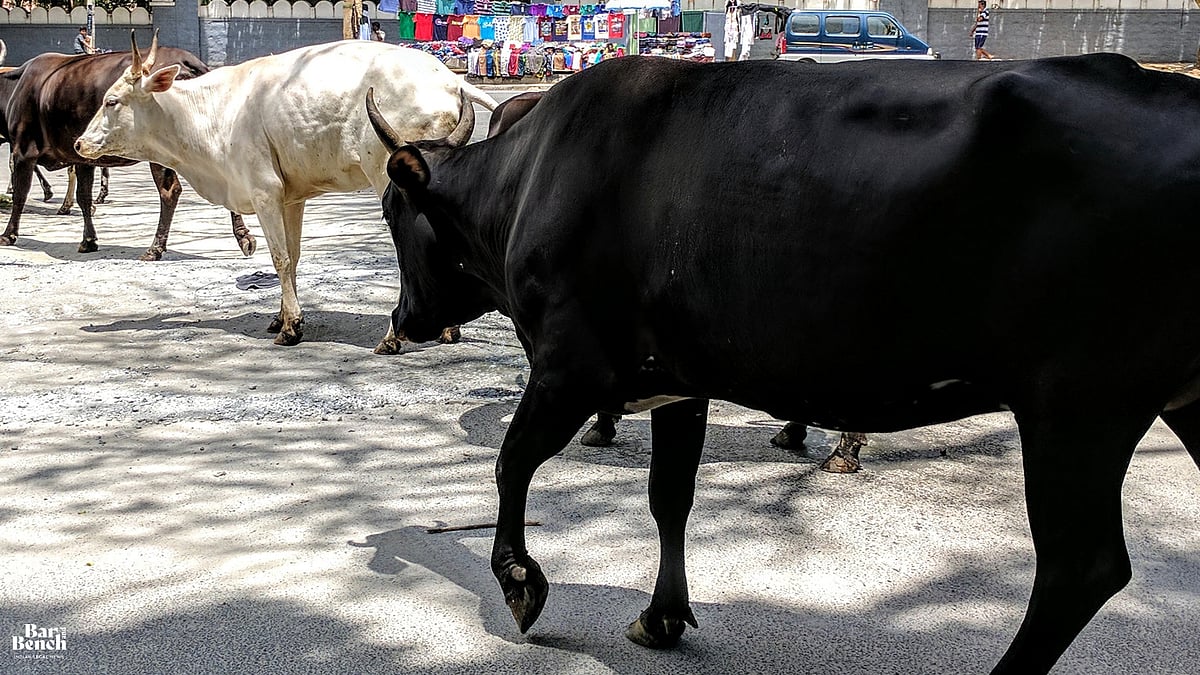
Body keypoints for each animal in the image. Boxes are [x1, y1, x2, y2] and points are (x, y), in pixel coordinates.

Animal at [3, 34, 255, 261]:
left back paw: (155, 248)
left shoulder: (24, 150)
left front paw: (9, 234)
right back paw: (243, 238)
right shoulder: (83, 157)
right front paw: (88, 239)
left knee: (169, 192)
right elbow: (83, 196)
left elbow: (21, 192)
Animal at [76, 37, 497, 347]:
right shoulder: (291, 198)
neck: (212, 114)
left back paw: (393, 337)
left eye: (111, 101)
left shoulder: (264, 192)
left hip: (387, 173)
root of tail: (449, 79)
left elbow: (278, 258)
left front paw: (292, 328)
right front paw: (281, 318)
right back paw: (447, 328)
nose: (79, 144)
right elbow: (292, 258)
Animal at [365, 53, 1200, 674]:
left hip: (1079, 403)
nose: (403, 321)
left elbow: (512, 461)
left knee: (1079, 567)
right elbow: (670, 496)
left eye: (392, 211)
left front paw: (518, 581)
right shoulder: (675, 379)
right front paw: (661, 616)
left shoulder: (572, 364)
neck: (528, 177)